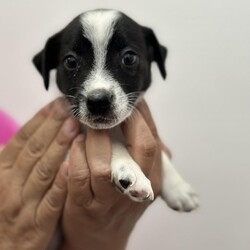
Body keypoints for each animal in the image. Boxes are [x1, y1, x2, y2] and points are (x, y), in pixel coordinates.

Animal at [33, 8, 198, 211]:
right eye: (70, 61)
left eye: (129, 58)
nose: (98, 101)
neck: (113, 129)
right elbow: (112, 144)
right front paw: (129, 169)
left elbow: (160, 154)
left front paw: (177, 186)